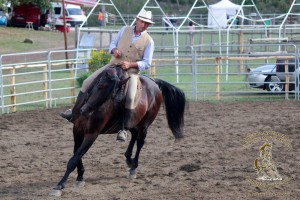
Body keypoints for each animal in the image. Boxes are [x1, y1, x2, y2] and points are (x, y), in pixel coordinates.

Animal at [49, 66, 185, 197]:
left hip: (144, 125)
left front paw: (60, 185)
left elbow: (75, 157)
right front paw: (80, 177)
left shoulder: (92, 134)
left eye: (112, 94)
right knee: (134, 135)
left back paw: (133, 168)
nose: (85, 111)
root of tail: (153, 82)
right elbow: (76, 154)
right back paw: (128, 159)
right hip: (133, 123)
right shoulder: (77, 129)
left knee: (140, 142)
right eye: (99, 85)